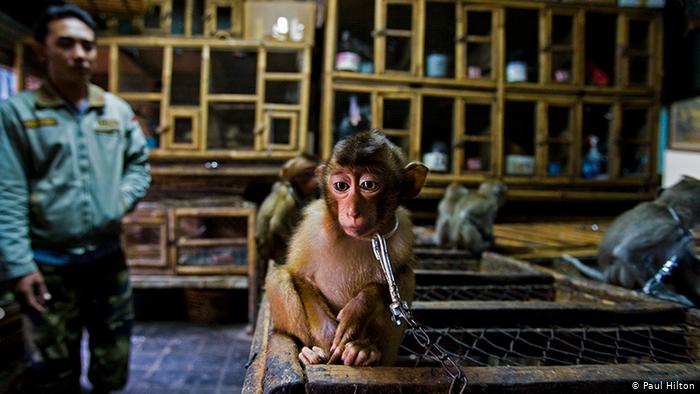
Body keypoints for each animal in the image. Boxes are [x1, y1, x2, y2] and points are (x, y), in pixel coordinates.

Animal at [264, 129, 426, 366]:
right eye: (341, 186)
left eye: (368, 185)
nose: (352, 212)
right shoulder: (312, 226)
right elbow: (300, 276)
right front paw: (328, 334)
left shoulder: (401, 233)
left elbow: (393, 278)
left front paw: (360, 307)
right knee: (279, 277)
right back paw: (310, 352)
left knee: (406, 278)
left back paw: (365, 351)